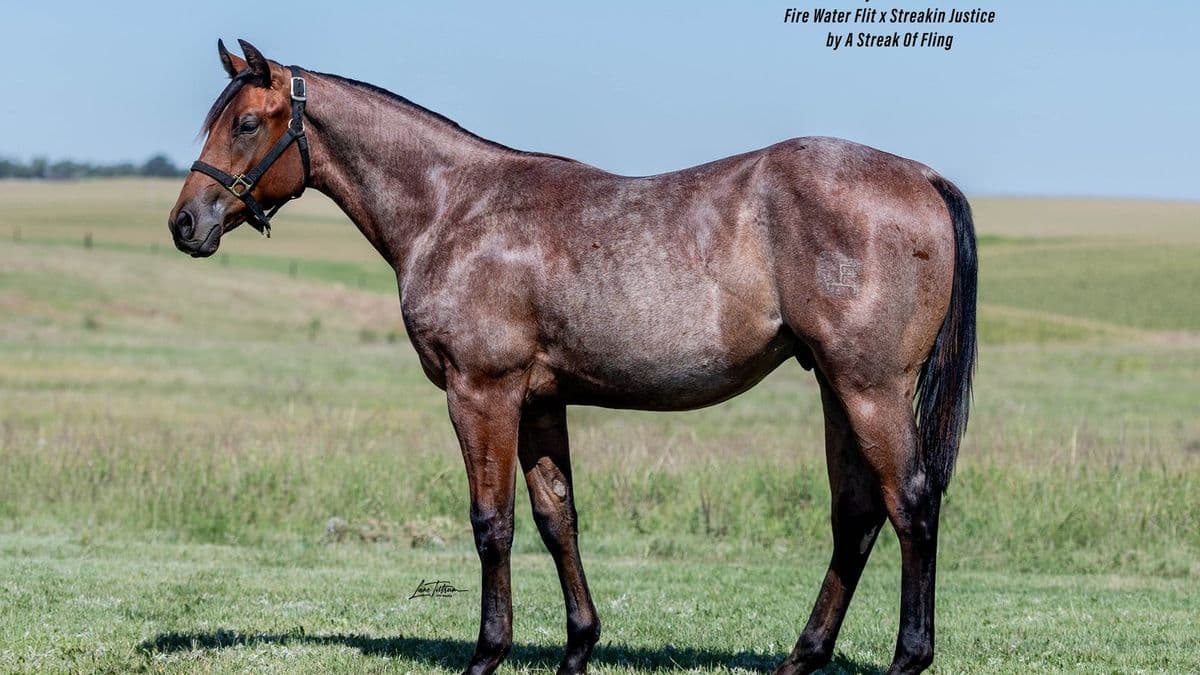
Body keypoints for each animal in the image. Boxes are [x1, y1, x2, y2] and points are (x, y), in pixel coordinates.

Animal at [169, 39, 976, 675]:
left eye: (246, 122)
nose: (185, 222)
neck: (453, 209)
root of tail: (923, 176)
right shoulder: (539, 401)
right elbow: (559, 519)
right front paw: (579, 645)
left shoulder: (481, 392)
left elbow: (492, 522)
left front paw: (487, 652)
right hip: (838, 389)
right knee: (857, 516)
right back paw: (802, 656)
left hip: (870, 389)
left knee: (910, 504)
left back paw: (908, 656)